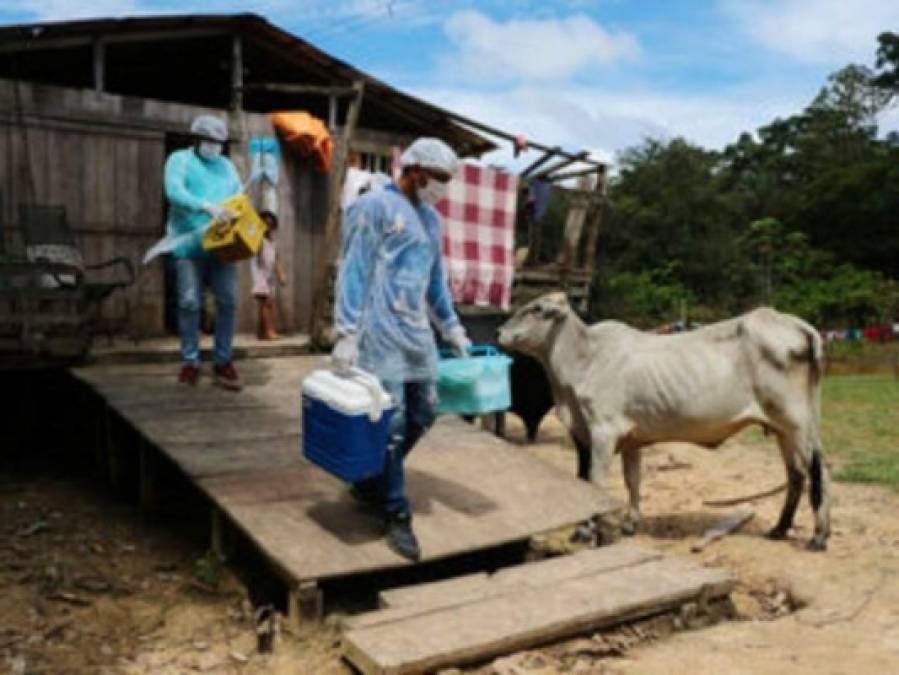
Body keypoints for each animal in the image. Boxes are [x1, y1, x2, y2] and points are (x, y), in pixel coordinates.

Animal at [496, 294, 832, 552]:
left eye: (537, 309)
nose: (499, 332)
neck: (583, 362)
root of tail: (796, 324)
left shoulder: (602, 432)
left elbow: (594, 481)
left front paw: (587, 531)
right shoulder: (623, 437)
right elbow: (631, 479)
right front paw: (629, 524)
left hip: (797, 422)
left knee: (819, 471)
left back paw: (818, 537)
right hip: (783, 427)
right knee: (797, 474)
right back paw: (780, 528)